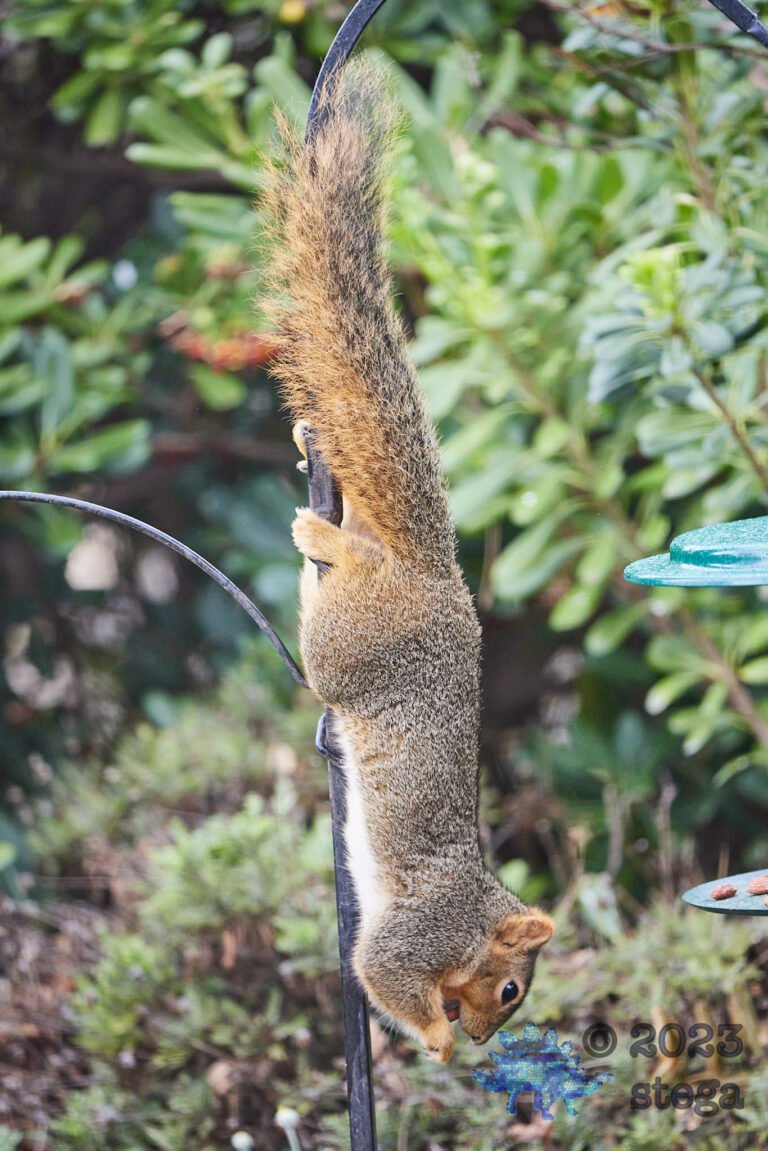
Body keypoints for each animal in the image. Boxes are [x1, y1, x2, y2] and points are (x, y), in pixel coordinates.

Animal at [262, 60, 554, 1064]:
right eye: (509, 988)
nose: (482, 1039)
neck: (474, 911)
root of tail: (439, 579)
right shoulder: (417, 931)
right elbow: (379, 970)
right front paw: (431, 1039)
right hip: (352, 647)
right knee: (331, 634)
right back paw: (326, 540)